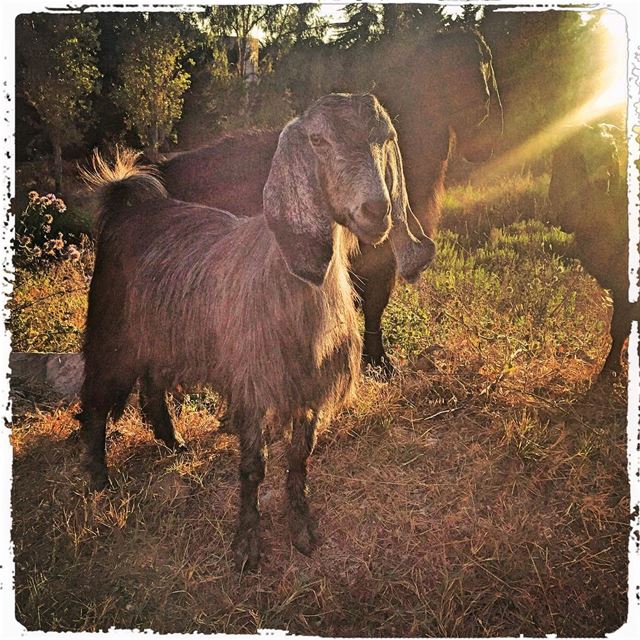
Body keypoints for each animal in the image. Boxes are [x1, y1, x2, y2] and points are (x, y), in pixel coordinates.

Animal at [76, 91, 436, 568]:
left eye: (385, 138)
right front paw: (247, 543)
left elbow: (300, 458)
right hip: (112, 330)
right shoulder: (251, 384)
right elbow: (253, 466)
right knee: (97, 400)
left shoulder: (308, 387)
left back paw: (173, 442)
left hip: (164, 334)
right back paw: (100, 476)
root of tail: (128, 206)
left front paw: (301, 529)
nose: (376, 211)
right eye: (318, 140)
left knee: (153, 384)